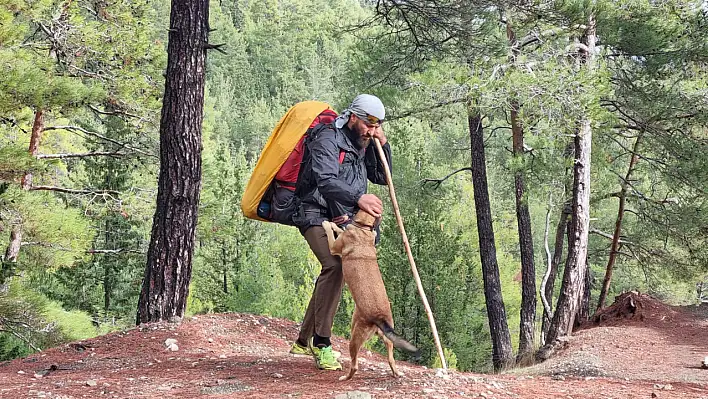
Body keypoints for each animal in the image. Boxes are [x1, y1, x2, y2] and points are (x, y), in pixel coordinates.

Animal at [322, 209, 418, 382]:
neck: (364, 228)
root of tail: (380, 318)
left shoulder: (334, 247)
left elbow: (332, 233)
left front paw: (328, 224)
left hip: (354, 339)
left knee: (354, 365)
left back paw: (345, 378)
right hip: (387, 339)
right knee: (391, 358)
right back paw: (396, 373)